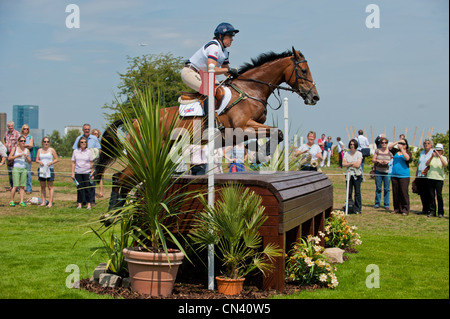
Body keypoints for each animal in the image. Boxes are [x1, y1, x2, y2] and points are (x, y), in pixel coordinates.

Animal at [95, 45, 320, 210]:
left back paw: (114, 215)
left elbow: (272, 134)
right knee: (120, 178)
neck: (251, 89)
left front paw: (258, 154)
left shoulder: (244, 131)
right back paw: (111, 214)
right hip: (142, 153)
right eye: (303, 70)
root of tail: (135, 120)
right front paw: (261, 154)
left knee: (125, 180)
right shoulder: (241, 127)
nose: (314, 97)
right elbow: (277, 132)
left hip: (156, 154)